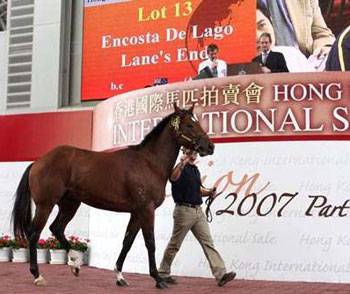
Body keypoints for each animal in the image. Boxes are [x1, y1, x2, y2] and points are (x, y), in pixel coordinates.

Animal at [10, 104, 213, 290]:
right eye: (189, 125)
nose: (210, 146)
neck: (149, 163)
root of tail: (38, 162)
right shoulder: (146, 210)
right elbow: (150, 243)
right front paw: (158, 279)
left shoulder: (137, 213)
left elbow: (127, 242)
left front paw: (120, 276)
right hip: (46, 205)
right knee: (35, 233)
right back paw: (38, 275)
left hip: (70, 204)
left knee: (57, 228)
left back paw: (75, 264)